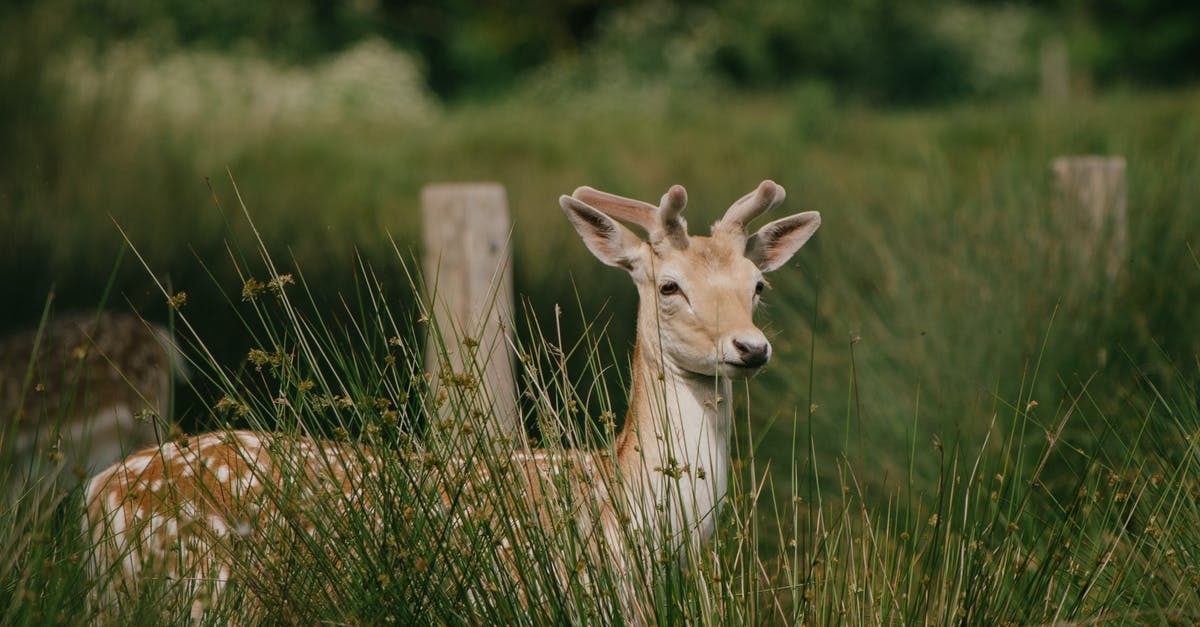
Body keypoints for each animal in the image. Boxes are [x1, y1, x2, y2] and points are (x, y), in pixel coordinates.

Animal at [81, 180, 820, 621]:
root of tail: (97, 492)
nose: (751, 347)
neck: (628, 511)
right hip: (194, 593)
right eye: (669, 285)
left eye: (757, 285)